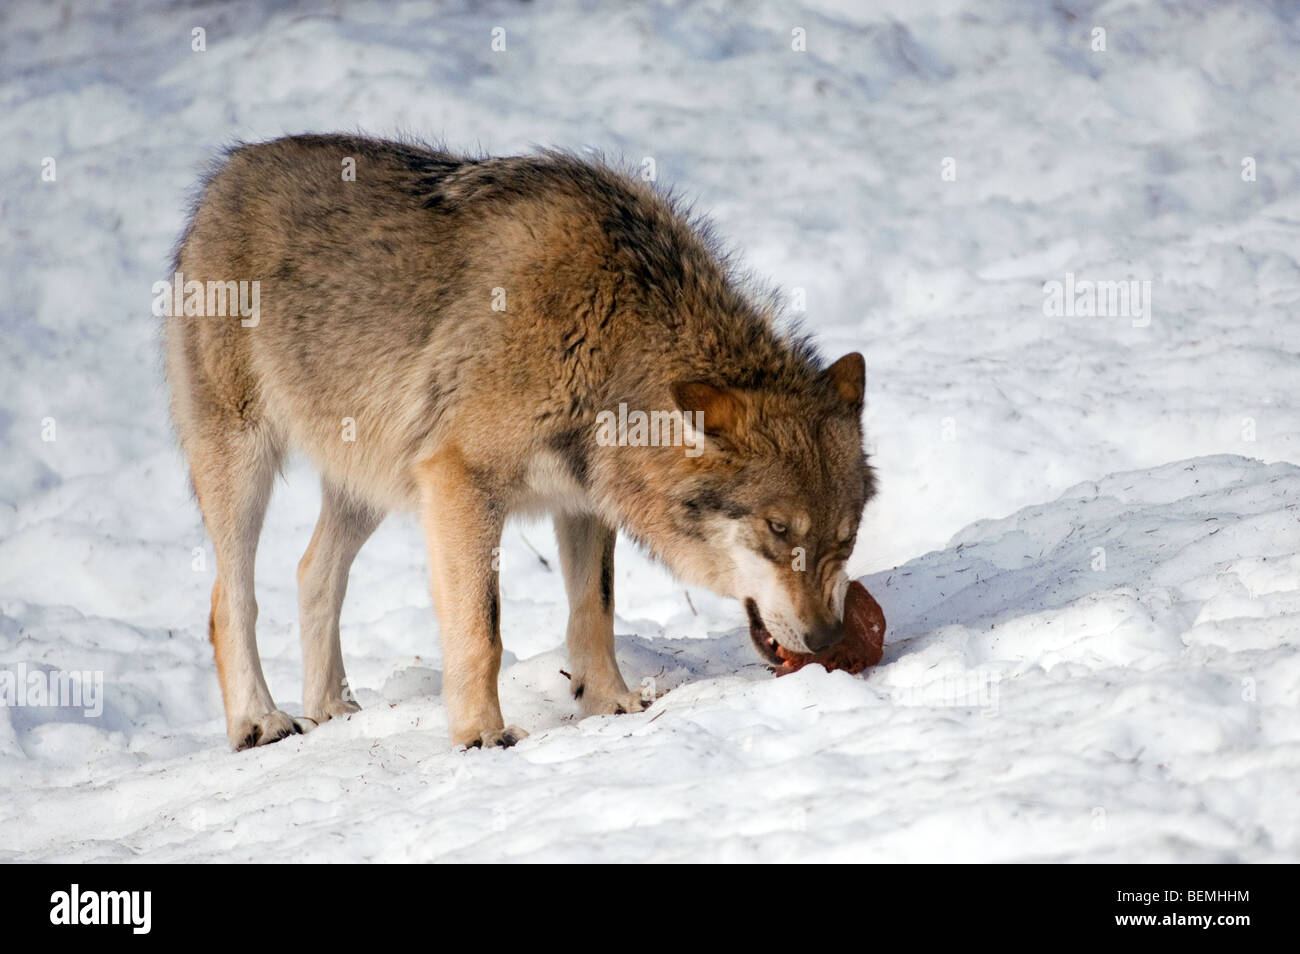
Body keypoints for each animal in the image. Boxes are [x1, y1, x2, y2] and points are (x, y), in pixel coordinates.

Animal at [164, 134, 876, 751]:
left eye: (845, 538)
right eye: (778, 530)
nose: (827, 637)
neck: (609, 333)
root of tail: (228, 171)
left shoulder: (582, 501)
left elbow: (595, 610)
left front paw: (610, 704)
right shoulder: (462, 484)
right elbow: (483, 629)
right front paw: (481, 735)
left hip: (373, 480)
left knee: (312, 572)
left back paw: (332, 710)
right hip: (244, 463)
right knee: (229, 601)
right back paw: (260, 721)